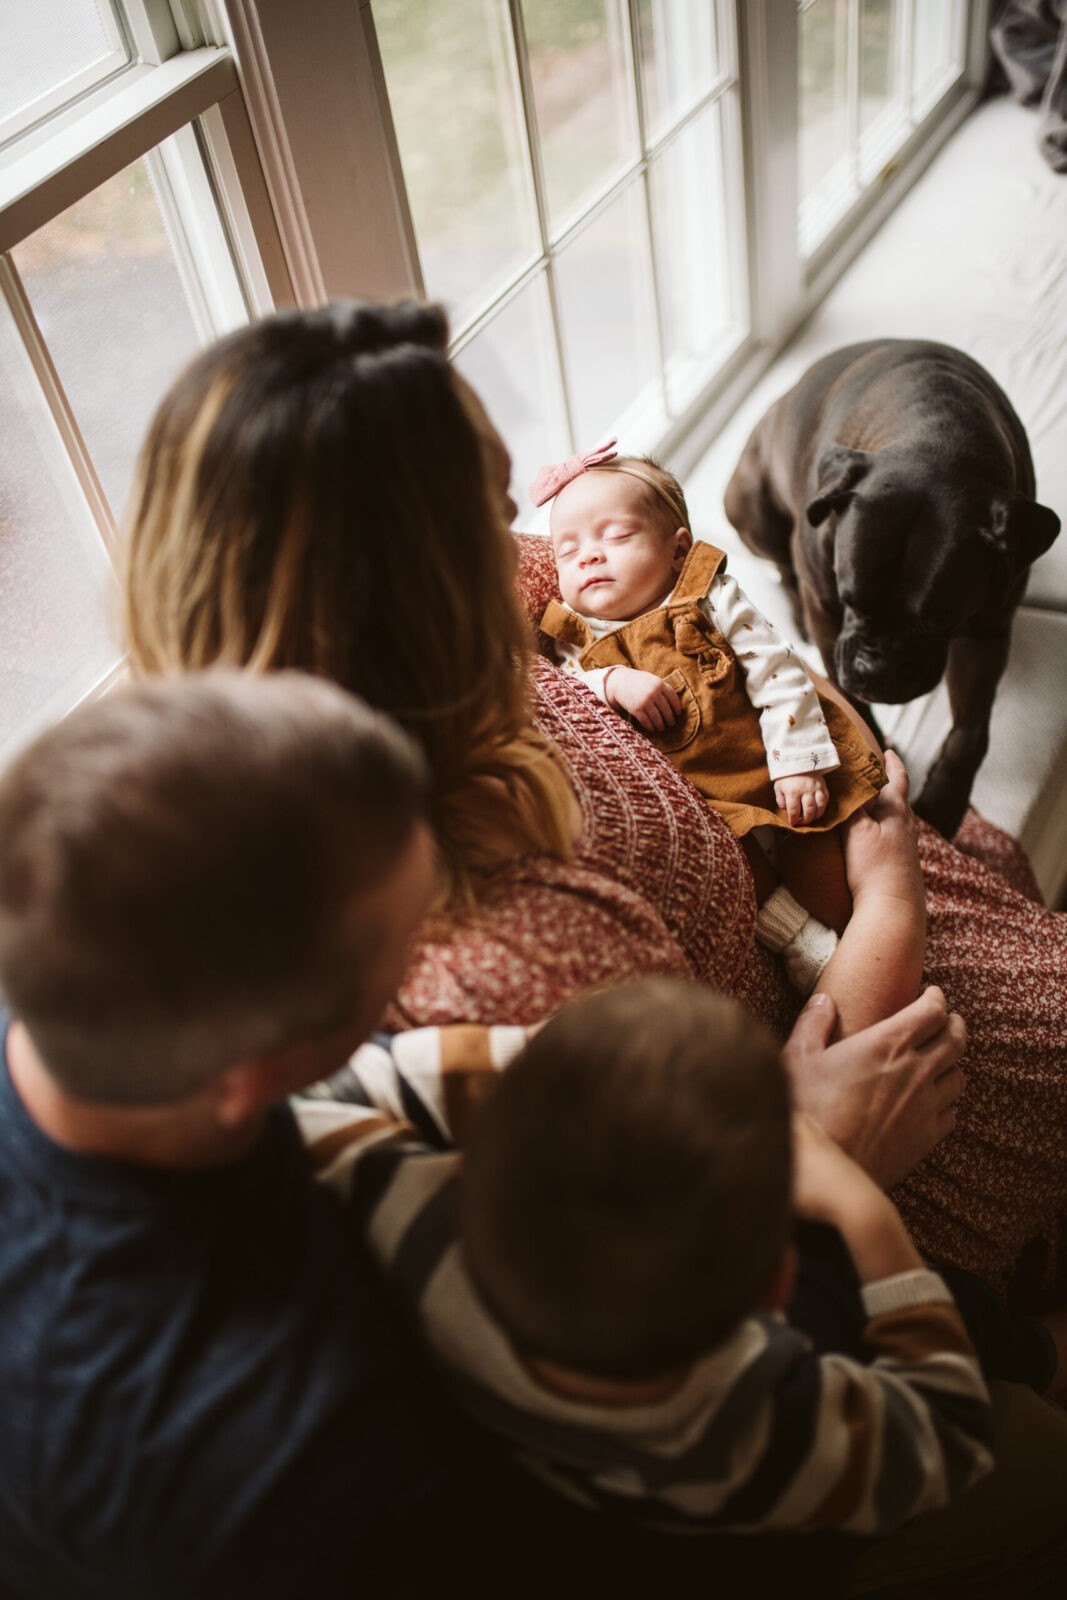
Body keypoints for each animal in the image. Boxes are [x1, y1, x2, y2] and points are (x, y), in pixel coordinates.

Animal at [723, 337, 1062, 838]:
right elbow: (851, 699)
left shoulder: (987, 632)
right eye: (848, 599)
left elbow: (970, 733)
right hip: (753, 509)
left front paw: (942, 804)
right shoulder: (828, 613)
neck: (935, 432)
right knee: (782, 563)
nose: (875, 669)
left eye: (938, 621)